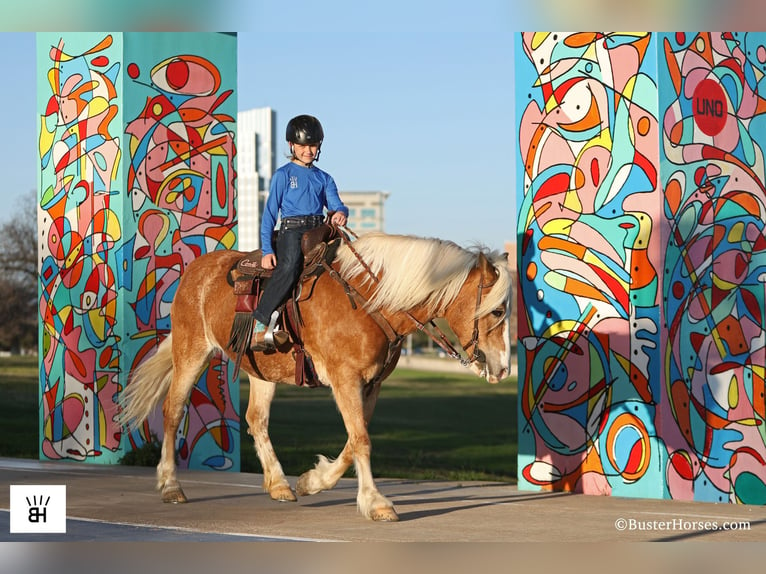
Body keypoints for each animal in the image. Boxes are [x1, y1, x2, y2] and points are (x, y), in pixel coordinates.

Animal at [118, 232, 516, 524]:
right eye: (497, 310)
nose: (503, 368)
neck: (369, 301)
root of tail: (195, 270)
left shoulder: (370, 384)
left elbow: (354, 440)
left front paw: (313, 481)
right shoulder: (345, 379)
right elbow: (362, 440)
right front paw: (375, 502)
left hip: (262, 371)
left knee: (256, 419)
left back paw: (278, 483)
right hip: (192, 352)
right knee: (173, 411)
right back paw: (170, 485)